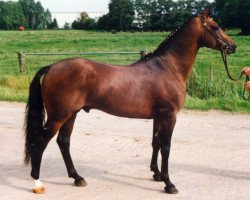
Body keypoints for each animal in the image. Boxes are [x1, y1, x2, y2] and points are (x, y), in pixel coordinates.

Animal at [23, 9, 236, 194]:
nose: (233, 46)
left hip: (71, 114)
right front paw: (169, 183)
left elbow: (156, 143)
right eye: (216, 26)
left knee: (63, 142)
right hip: (59, 116)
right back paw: (38, 183)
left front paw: (156, 174)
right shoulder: (170, 115)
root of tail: (52, 67)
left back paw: (77, 178)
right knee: (40, 142)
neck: (168, 67)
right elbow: (166, 147)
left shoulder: (159, 116)